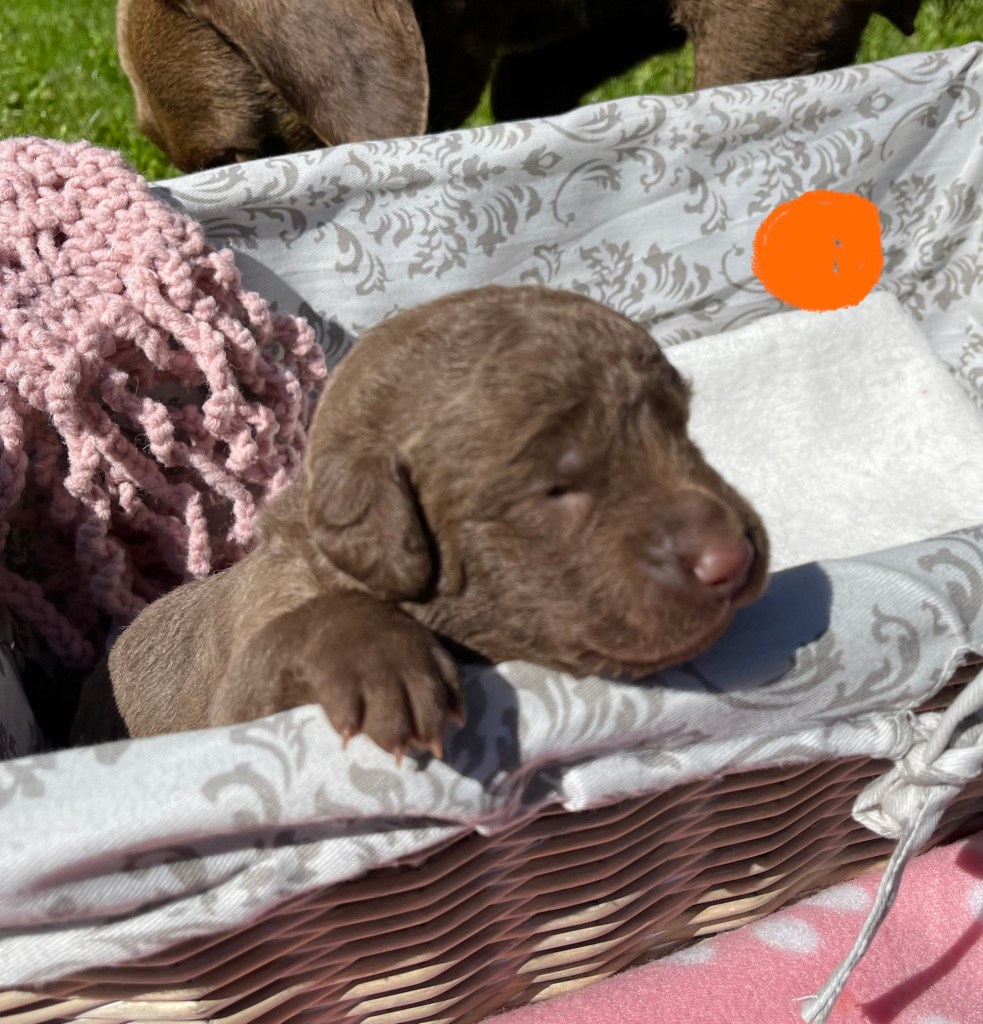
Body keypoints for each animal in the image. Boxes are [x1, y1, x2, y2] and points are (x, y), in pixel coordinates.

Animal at [71, 286, 769, 757]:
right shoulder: (237, 698)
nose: (731, 556)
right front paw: (385, 666)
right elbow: (302, 630)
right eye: (555, 489)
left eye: (681, 427)